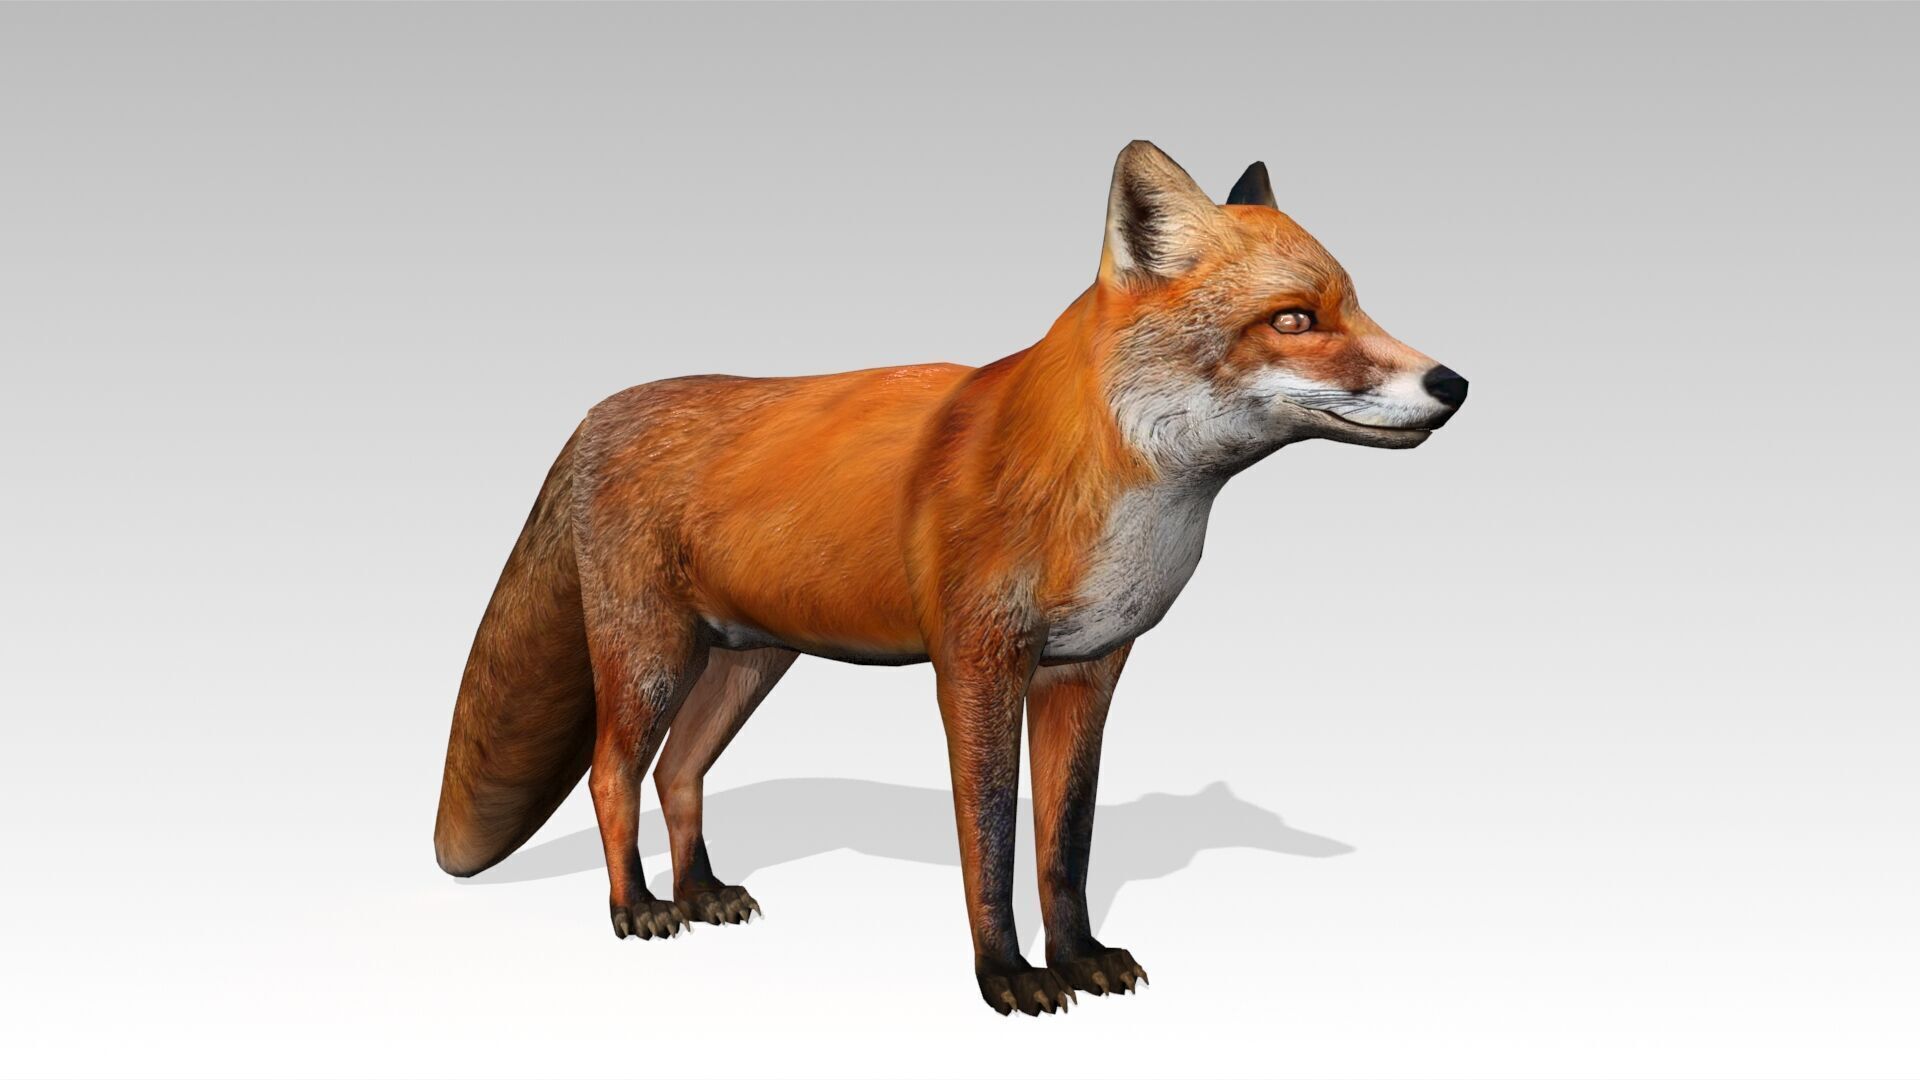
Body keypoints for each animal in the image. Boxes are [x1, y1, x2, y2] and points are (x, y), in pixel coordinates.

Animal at [434, 140, 1469, 1016]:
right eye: (1295, 319)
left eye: (1357, 307)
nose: (1452, 385)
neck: (1110, 493)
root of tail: (601, 409)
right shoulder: (976, 664)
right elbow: (994, 841)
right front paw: (1005, 975)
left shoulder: (1085, 671)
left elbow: (1065, 847)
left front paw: (1079, 957)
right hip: (650, 658)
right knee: (613, 773)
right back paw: (636, 905)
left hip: (746, 663)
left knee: (677, 770)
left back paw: (698, 892)